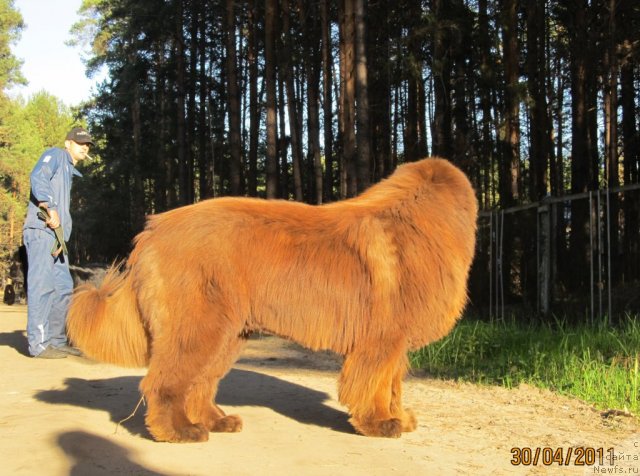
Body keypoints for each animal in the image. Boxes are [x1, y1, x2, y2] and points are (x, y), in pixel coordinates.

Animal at [67, 158, 478, 444]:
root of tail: (152, 230)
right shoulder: (382, 340)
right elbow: (374, 385)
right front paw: (379, 424)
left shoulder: (394, 343)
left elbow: (393, 385)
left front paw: (400, 417)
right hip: (197, 327)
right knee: (164, 383)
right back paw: (180, 431)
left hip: (226, 333)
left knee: (200, 383)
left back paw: (215, 420)